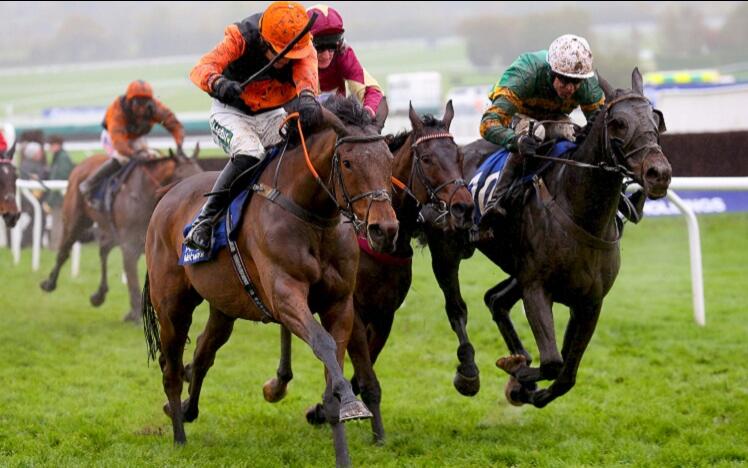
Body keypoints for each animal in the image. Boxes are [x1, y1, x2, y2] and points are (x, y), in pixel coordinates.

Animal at [39, 146, 200, 322]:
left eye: (200, 172)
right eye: (183, 177)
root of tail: (81, 164)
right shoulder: (130, 245)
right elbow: (133, 279)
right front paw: (136, 314)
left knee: (103, 251)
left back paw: (99, 295)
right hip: (75, 220)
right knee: (65, 250)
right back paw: (49, 283)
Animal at [140, 97, 398, 466]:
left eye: (389, 159)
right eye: (348, 162)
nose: (384, 229)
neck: (312, 216)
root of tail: (166, 197)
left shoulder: (340, 303)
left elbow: (334, 358)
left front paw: (341, 428)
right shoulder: (285, 296)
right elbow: (323, 344)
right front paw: (349, 403)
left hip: (224, 306)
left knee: (204, 351)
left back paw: (188, 410)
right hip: (173, 307)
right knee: (171, 367)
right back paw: (178, 435)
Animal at [262, 99, 474, 442]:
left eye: (458, 155)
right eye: (426, 159)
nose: (464, 207)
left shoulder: (385, 313)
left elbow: (366, 366)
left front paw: (325, 408)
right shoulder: (356, 311)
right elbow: (364, 368)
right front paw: (370, 429)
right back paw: (278, 383)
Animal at [424, 67, 676, 408]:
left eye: (655, 119)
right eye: (618, 123)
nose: (658, 174)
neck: (582, 214)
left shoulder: (589, 302)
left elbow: (566, 375)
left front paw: (525, 384)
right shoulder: (537, 288)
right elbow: (554, 362)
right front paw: (517, 376)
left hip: (517, 271)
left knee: (495, 300)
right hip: (448, 252)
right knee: (457, 309)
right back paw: (469, 373)